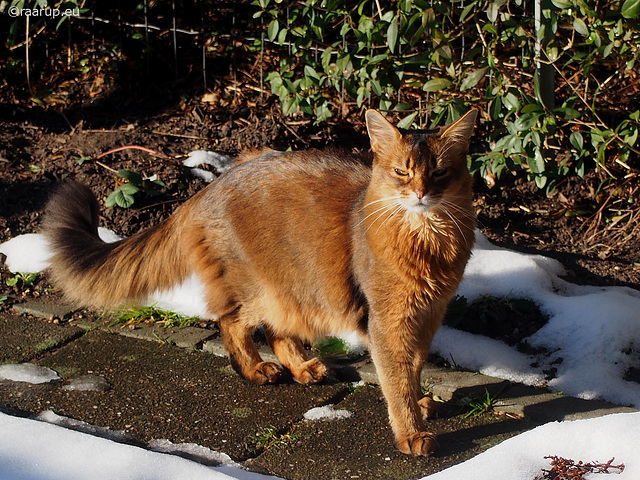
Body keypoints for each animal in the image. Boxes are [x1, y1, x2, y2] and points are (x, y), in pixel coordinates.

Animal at [42, 107, 478, 456]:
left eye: (439, 172)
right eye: (402, 171)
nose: (420, 193)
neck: (428, 241)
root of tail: (211, 186)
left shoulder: (428, 315)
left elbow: (414, 369)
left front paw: (421, 404)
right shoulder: (387, 321)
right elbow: (396, 380)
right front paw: (411, 433)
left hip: (293, 287)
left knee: (275, 330)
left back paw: (303, 368)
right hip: (260, 287)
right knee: (231, 321)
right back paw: (255, 370)